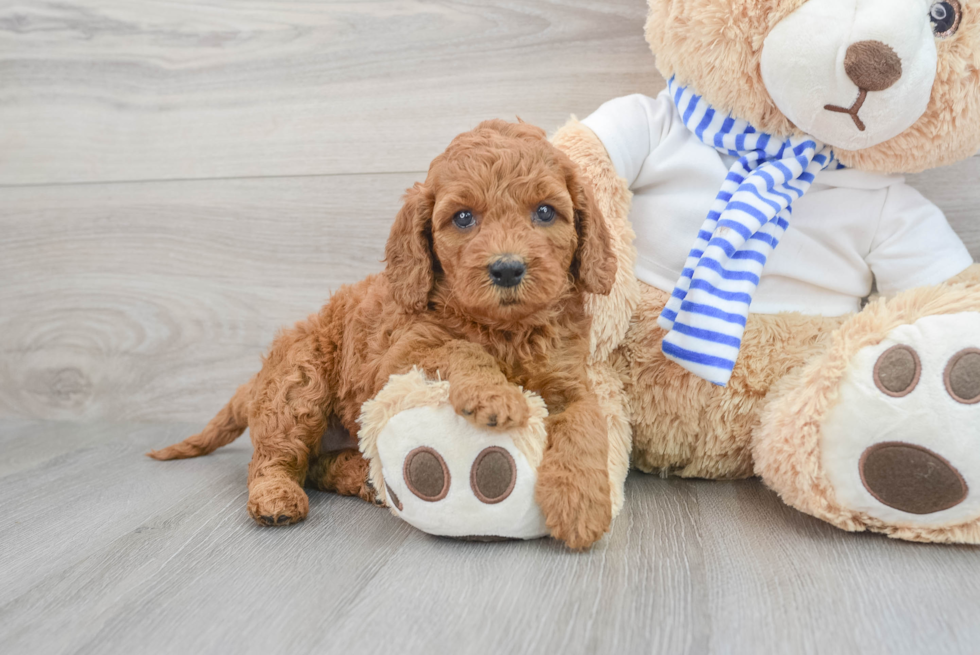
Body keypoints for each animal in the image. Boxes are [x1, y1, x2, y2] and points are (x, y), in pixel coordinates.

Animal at [149, 120, 616, 552]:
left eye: (545, 212)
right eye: (463, 217)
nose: (507, 269)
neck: (507, 329)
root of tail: (260, 377)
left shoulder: (570, 380)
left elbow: (587, 424)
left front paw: (583, 504)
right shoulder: (403, 353)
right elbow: (460, 348)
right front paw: (494, 395)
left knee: (318, 465)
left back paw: (366, 480)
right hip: (298, 384)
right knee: (275, 456)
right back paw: (276, 498)